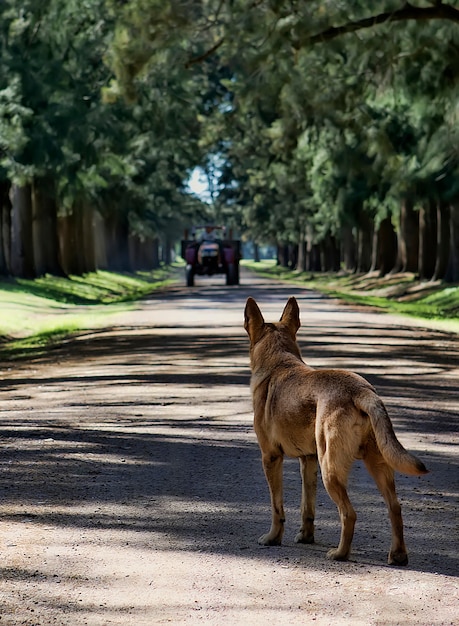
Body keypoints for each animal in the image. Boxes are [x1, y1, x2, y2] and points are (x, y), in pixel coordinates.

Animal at [246, 294, 430, 564]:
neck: (280, 362)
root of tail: (361, 391)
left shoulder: (270, 458)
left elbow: (277, 507)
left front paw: (272, 538)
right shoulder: (308, 460)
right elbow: (307, 507)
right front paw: (306, 537)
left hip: (330, 469)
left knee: (349, 513)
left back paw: (340, 553)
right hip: (376, 464)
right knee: (395, 508)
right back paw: (397, 555)